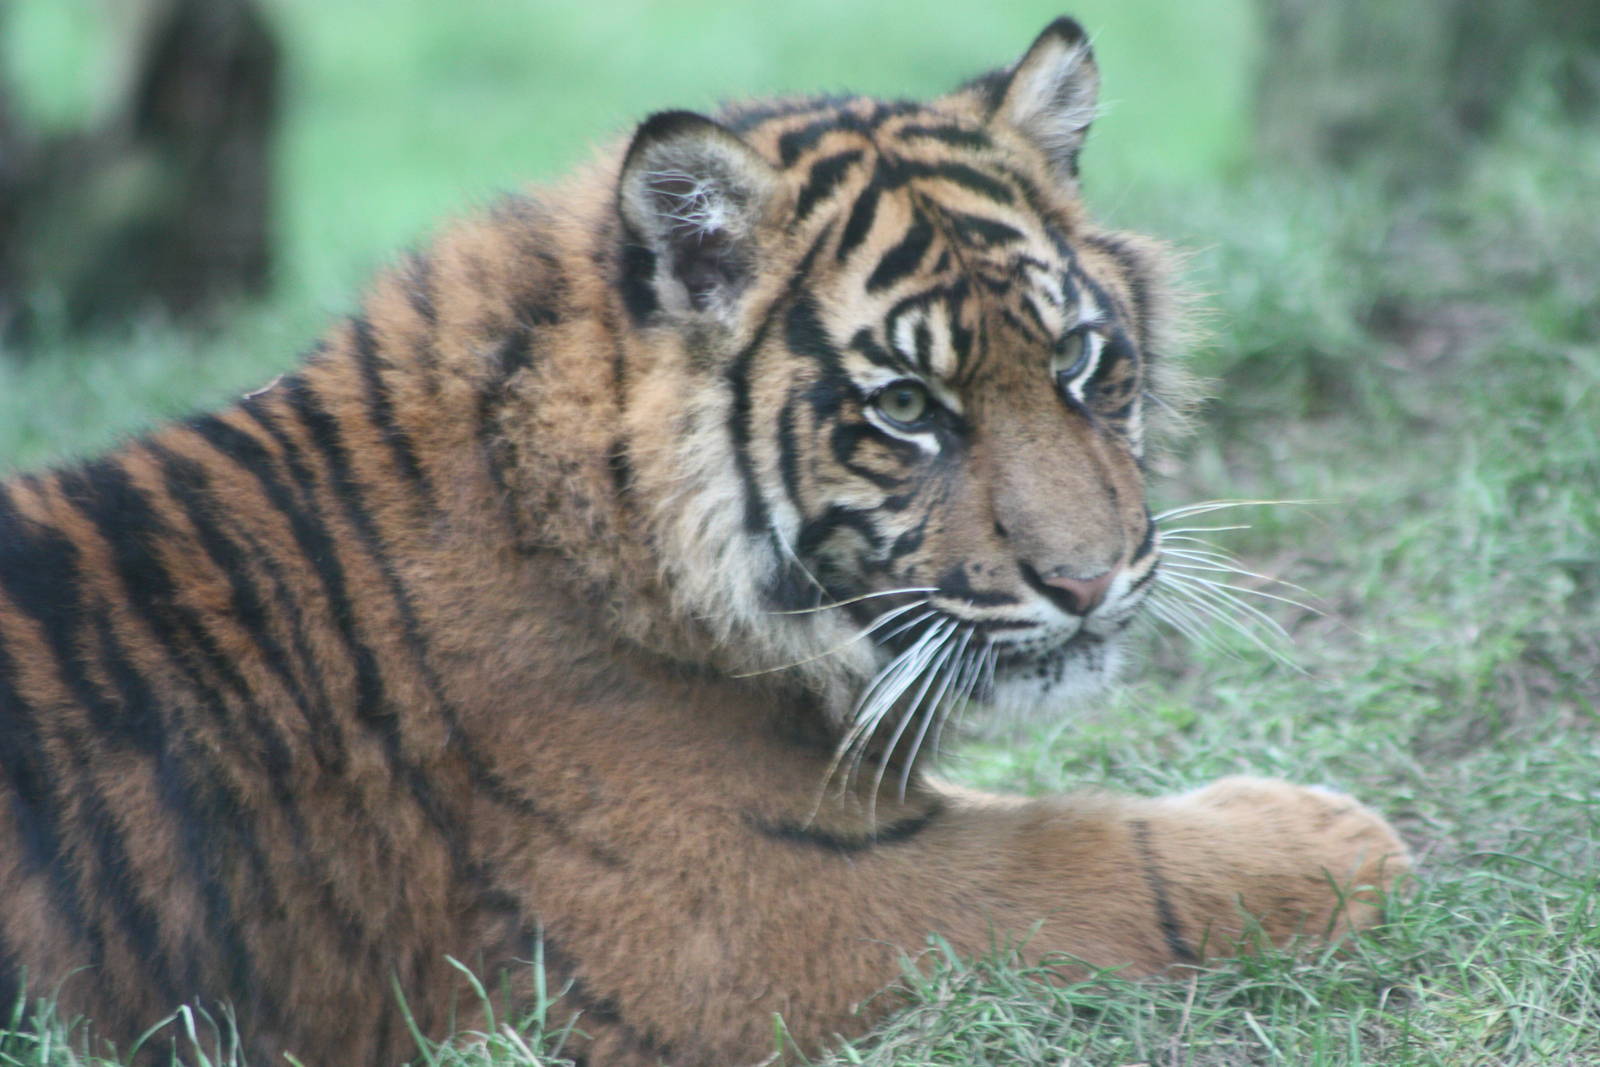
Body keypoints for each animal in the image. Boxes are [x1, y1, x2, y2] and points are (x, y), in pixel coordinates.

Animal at [0, 17, 1410, 1067]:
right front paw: (1336, 837)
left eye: (1075, 358)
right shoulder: (757, 908)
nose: (1089, 578)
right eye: (907, 407)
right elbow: (1083, 856)